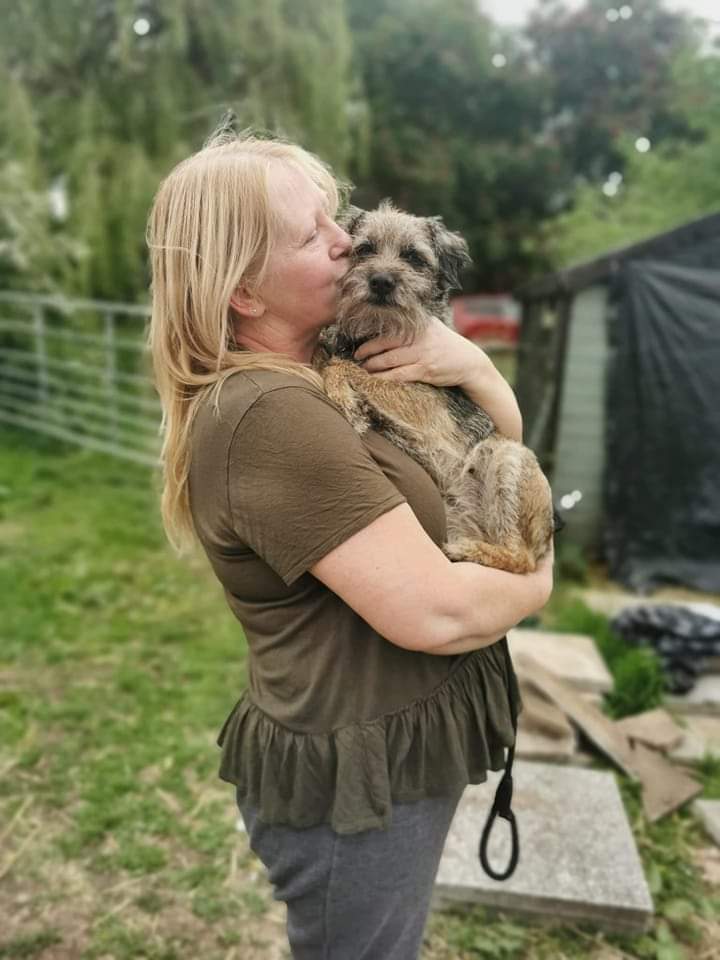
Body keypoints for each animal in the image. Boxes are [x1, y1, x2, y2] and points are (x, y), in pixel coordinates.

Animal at [316, 200, 556, 572]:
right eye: (365, 249)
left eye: (414, 257)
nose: (381, 281)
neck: (376, 330)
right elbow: (337, 362)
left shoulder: (423, 400)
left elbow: (349, 368)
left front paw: (345, 398)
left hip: (505, 456)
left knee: (522, 560)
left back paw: (469, 551)